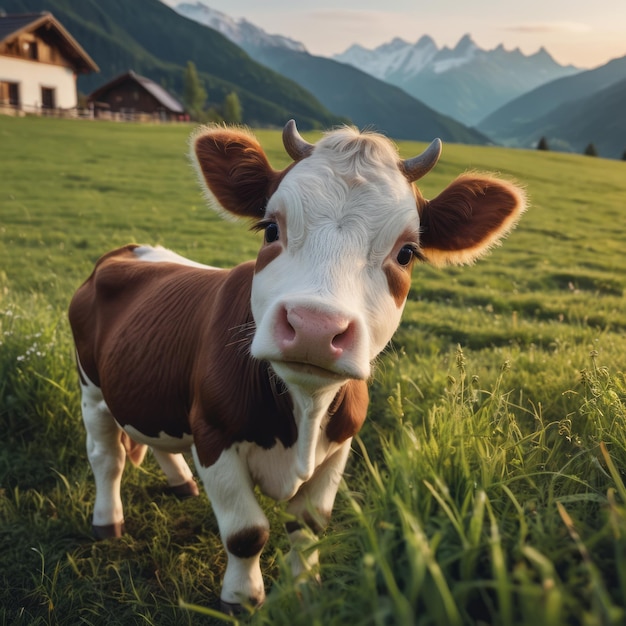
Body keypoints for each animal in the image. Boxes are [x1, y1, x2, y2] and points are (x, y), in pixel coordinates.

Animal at [68, 119, 524, 608]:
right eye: (271, 228)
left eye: (406, 252)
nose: (314, 327)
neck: (303, 413)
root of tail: (128, 250)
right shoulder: (213, 435)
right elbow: (246, 533)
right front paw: (241, 597)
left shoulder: (340, 447)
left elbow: (308, 527)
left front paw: (305, 587)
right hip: (91, 388)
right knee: (107, 457)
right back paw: (107, 520)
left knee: (154, 437)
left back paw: (180, 483)